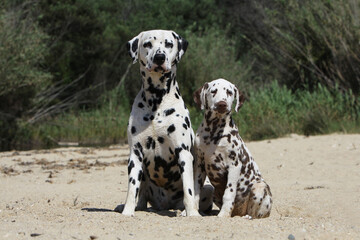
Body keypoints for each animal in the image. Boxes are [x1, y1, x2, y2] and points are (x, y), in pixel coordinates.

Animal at [116, 29, 211, 216]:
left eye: (168, 44)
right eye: (147, 44)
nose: (159, 57)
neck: (156, 101)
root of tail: (166, 204)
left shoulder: (183, 153)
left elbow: (188, 190)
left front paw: (192, 214)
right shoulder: (135, 155)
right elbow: (132, 188)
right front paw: (128, 211)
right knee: (141, 198)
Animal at [194, 78, 272, 218]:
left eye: (229, 92)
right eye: (213, 91)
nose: (222, 104)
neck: (214, 132)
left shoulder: (234, 166)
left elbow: (229, 194)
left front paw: (223, 215)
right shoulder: (199, 165)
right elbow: (196, 191)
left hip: (259, 187)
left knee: (256, 214)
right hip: (215, 193)